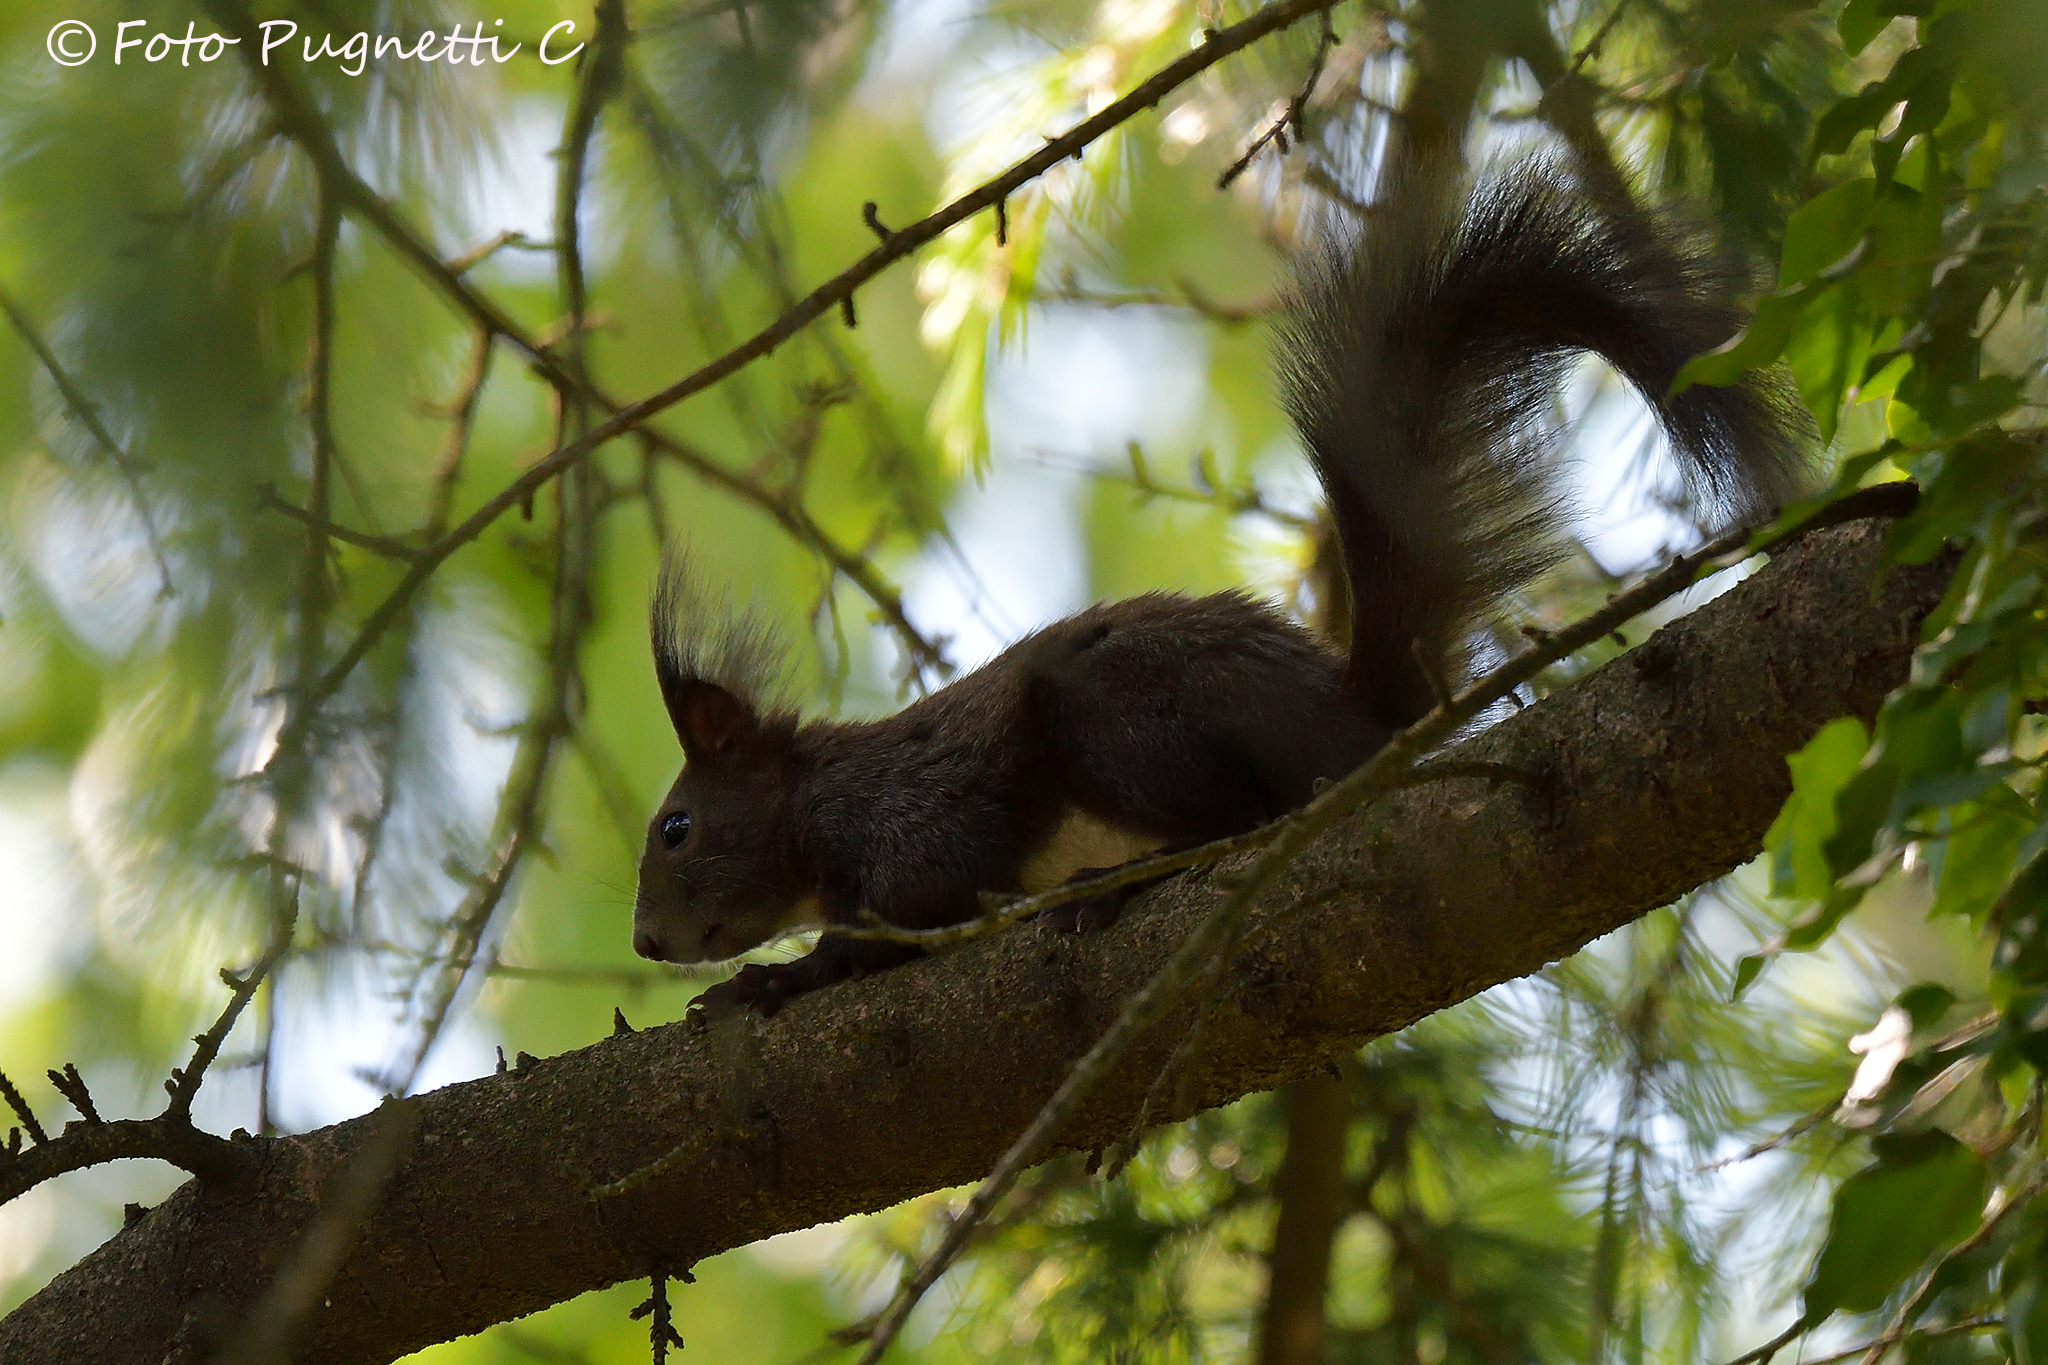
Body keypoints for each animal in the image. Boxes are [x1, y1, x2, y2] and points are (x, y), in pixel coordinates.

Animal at [632, 157, 1810, 1021]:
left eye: (677, 826)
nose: (644, 941)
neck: (815, 798)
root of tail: (1348, 721)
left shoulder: (911, 819)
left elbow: (905, 910)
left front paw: (777, 977)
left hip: (1120, 718)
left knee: (1237, 819)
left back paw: (1102, 892)